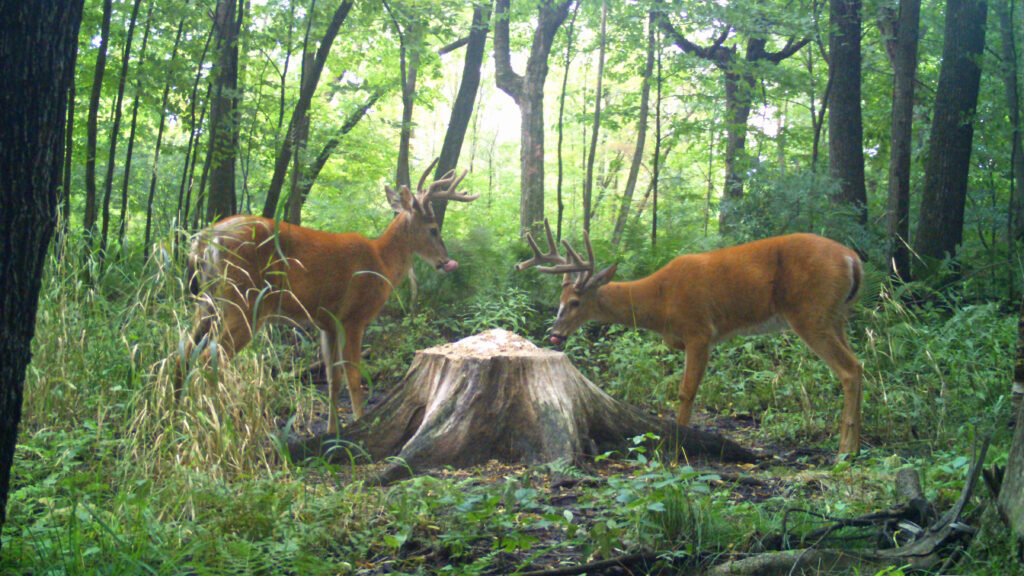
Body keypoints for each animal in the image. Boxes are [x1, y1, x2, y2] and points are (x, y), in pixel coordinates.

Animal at [178, 158, 477, 432]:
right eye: (433, 229)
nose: (445, 261)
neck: (382, 263)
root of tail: (204, 239)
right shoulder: (353, 317)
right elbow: (354, 376)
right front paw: (358, 427)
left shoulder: (327, 323)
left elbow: (334, 378)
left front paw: (333, 434)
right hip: (244, 301)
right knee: (208, 360)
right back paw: (213, 426)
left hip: (207, 303)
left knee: (184, 352)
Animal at [512, 222, 864, 455]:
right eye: (559, 300)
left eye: (574, 302)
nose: (554, 335)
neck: (660, 302)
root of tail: (852, 258)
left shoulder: (700, 332)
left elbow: (686, 391)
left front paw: (678, 447)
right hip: (836, 316)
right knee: (858, 365)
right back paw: (853, 447)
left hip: (811, 313)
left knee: (849, 370)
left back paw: (845, 452)